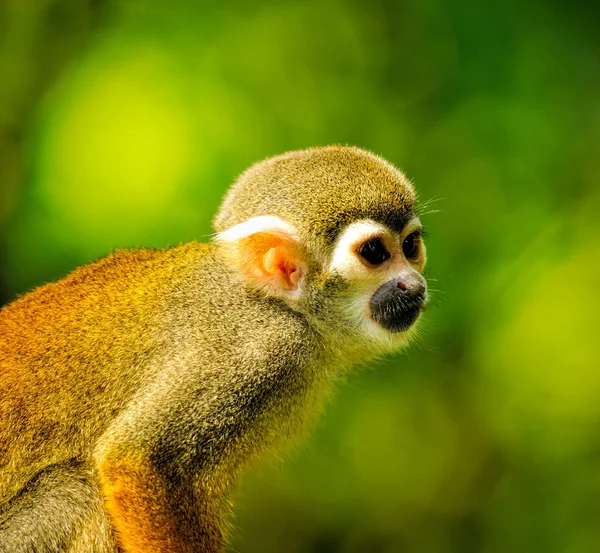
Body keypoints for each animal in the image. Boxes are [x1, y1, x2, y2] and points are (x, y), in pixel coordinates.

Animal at [0, 147, 426, 552]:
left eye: (410, 246)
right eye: (374, 253)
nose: (414, 284)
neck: (276, 304)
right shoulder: (257, 351)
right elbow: (137, 458)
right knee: (77, 492)